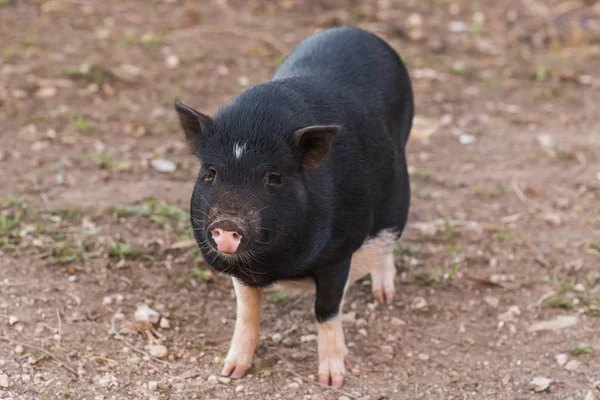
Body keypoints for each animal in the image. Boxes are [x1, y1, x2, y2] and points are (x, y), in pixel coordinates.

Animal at [175, 25, 412, 388]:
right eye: (210, 172)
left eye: (274, 177)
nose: (228, 223)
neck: (275, 267)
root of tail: (358, 31)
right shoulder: (242, 273)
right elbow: (246, 312)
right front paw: (230, 372)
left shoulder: (338, 254)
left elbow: (326, 310)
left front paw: (332, 380)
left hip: (397, 195)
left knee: (387, 240)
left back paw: (383, 297)